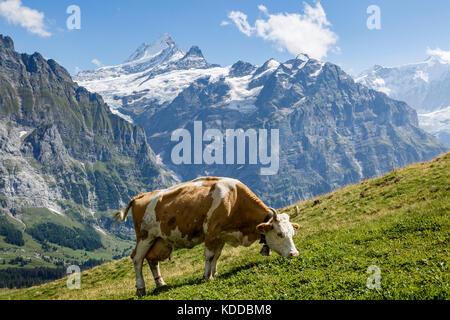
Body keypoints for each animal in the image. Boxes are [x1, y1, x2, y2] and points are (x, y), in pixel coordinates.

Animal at [114, 176, 300, 296]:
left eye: (292, 233)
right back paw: (140, 288)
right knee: (137, 259)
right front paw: (206, 276)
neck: (234, 200)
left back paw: (161, 283)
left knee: (152, 260)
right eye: (279, 233)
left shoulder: (221, 235)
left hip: (159, 240)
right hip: (145, 236)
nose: (294, 254)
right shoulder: (211, 232)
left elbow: (217, 255)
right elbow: (209, 255)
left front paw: (214, 273)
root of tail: (140, 196)